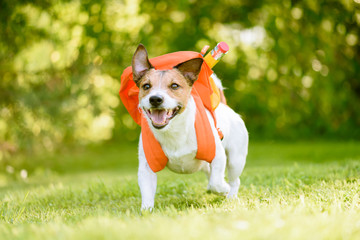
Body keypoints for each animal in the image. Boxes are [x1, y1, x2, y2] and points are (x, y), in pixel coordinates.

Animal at [131, 44, 248, 210]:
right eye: (146, 86)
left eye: (174, 86)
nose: (155, 99)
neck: (173, 131)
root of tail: (224, 106)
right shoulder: (146, 168)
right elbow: (147, 192)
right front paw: (146, 211)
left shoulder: (218, 155)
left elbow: (216, 183)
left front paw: (223, 188)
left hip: (236, 159)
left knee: (233, 180)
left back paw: (230, 195)